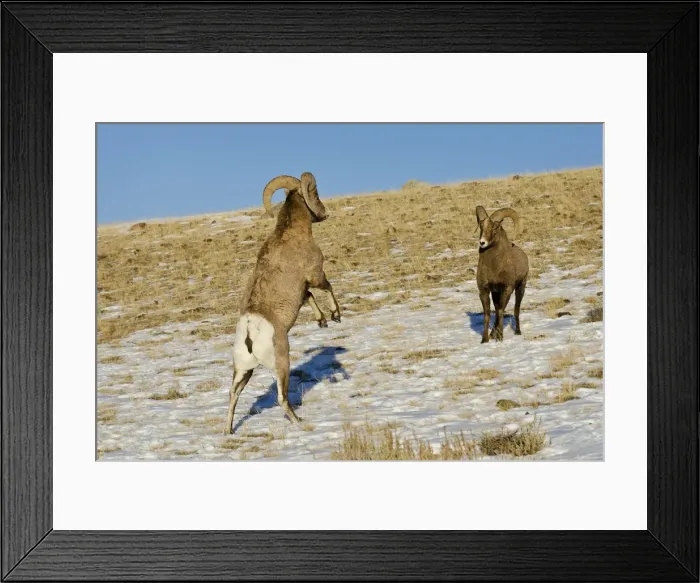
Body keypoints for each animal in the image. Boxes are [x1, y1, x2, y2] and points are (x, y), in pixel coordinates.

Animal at [223, 172, 341, 434]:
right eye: (315, 193)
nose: (324, 213)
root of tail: (250, 329)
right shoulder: (315, 275)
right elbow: (327, 288)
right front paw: (335, 316)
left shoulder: (302, 291)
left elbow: (310, 298)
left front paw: (322, 321)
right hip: (281, 364)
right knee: (281, 398)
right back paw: (298, 422)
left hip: (243, 370)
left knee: (233, 395)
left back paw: (228, 431)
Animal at [475, 206, 529, 343]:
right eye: (481, 226)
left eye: (495, 227)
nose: (482, 242)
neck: (494, 267)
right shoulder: (485, 291)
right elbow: (488, 314)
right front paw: (485, 340)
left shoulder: (507, 289)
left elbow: (500, 311)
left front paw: (500, 338)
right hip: (496, 293)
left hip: (520, 288)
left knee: (516, 309)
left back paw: (517, 332)